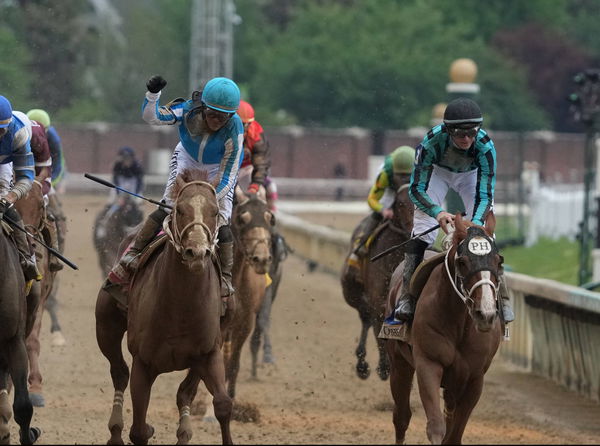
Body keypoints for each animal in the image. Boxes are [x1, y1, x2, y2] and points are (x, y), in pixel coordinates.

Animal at [95, 169, 232, 444]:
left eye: (214, 212)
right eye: (179, 209)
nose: (197, 252)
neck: (181, 307)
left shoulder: (210, 353)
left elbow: (222, 405)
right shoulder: (143, 363)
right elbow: (138, 430)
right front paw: (142, 429)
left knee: (185, 392)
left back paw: (184, 432)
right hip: (105, 328)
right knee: (119, 373)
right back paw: (115, 432)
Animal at [340, 183, 414, 382]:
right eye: (401, 203)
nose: (414, 229)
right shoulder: (378, 299)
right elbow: (379, 330)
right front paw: (384, 367)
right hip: (351, 291)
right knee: (365, 317)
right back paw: (362, 365)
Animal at [384, 214, 502, 444]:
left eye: (498, 261)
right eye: (462, 261)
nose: (485, 314)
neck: (460, 326)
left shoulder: (475, 377)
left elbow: (454, 434)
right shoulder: (428, 363)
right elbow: (436, 427)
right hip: (399, 362)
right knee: (401, 416)